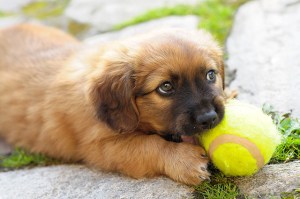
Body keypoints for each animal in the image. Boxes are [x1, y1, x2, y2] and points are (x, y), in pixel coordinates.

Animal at [0, 23, 225, 185]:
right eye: (166, 87)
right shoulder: (100, 147)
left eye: (211, 75)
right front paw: (184, 161)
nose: (209, 118)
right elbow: (150, 145)